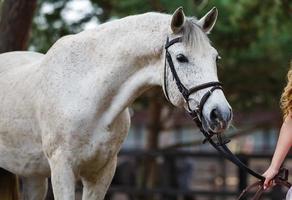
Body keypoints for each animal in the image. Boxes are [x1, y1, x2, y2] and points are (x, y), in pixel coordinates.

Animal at [0, 6, 233, 200]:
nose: (221, 114)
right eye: (181, 57)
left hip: (33, 174)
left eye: (215, 58)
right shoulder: (62, 169)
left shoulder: (102, 172)